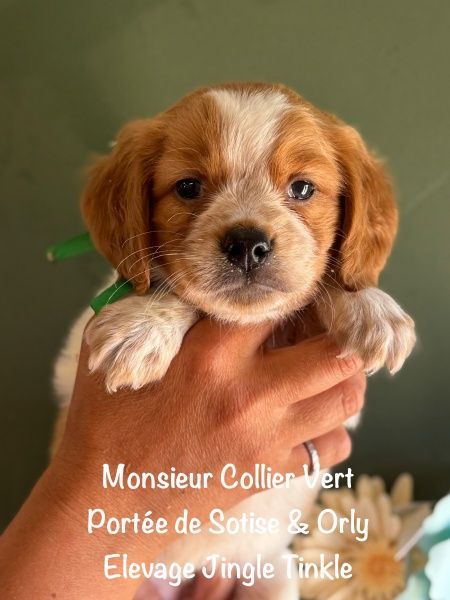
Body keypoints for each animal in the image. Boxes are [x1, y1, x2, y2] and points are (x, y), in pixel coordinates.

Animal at [52, 82, 416, 598]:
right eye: (188, 187)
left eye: (302, 188)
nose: (247, 243)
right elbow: (178, 289)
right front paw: (142, 323)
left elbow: (321, 286)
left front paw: (370, 306)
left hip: (273, 576)